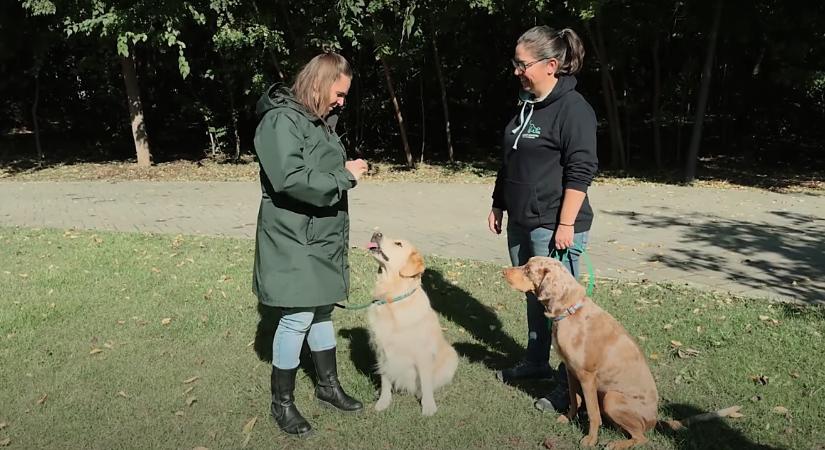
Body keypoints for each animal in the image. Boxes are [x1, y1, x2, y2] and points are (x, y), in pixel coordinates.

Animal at [506, 256, 736, 450]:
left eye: (528, 270)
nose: (504, 271)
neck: (570, 311)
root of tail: (656, 420)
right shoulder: (571, 371)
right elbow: (574, 399)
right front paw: (568, 418)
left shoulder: (587, 376)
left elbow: (593, 413)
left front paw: (590, 440)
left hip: (612, 398)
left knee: (641, 437)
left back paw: (616, 444)